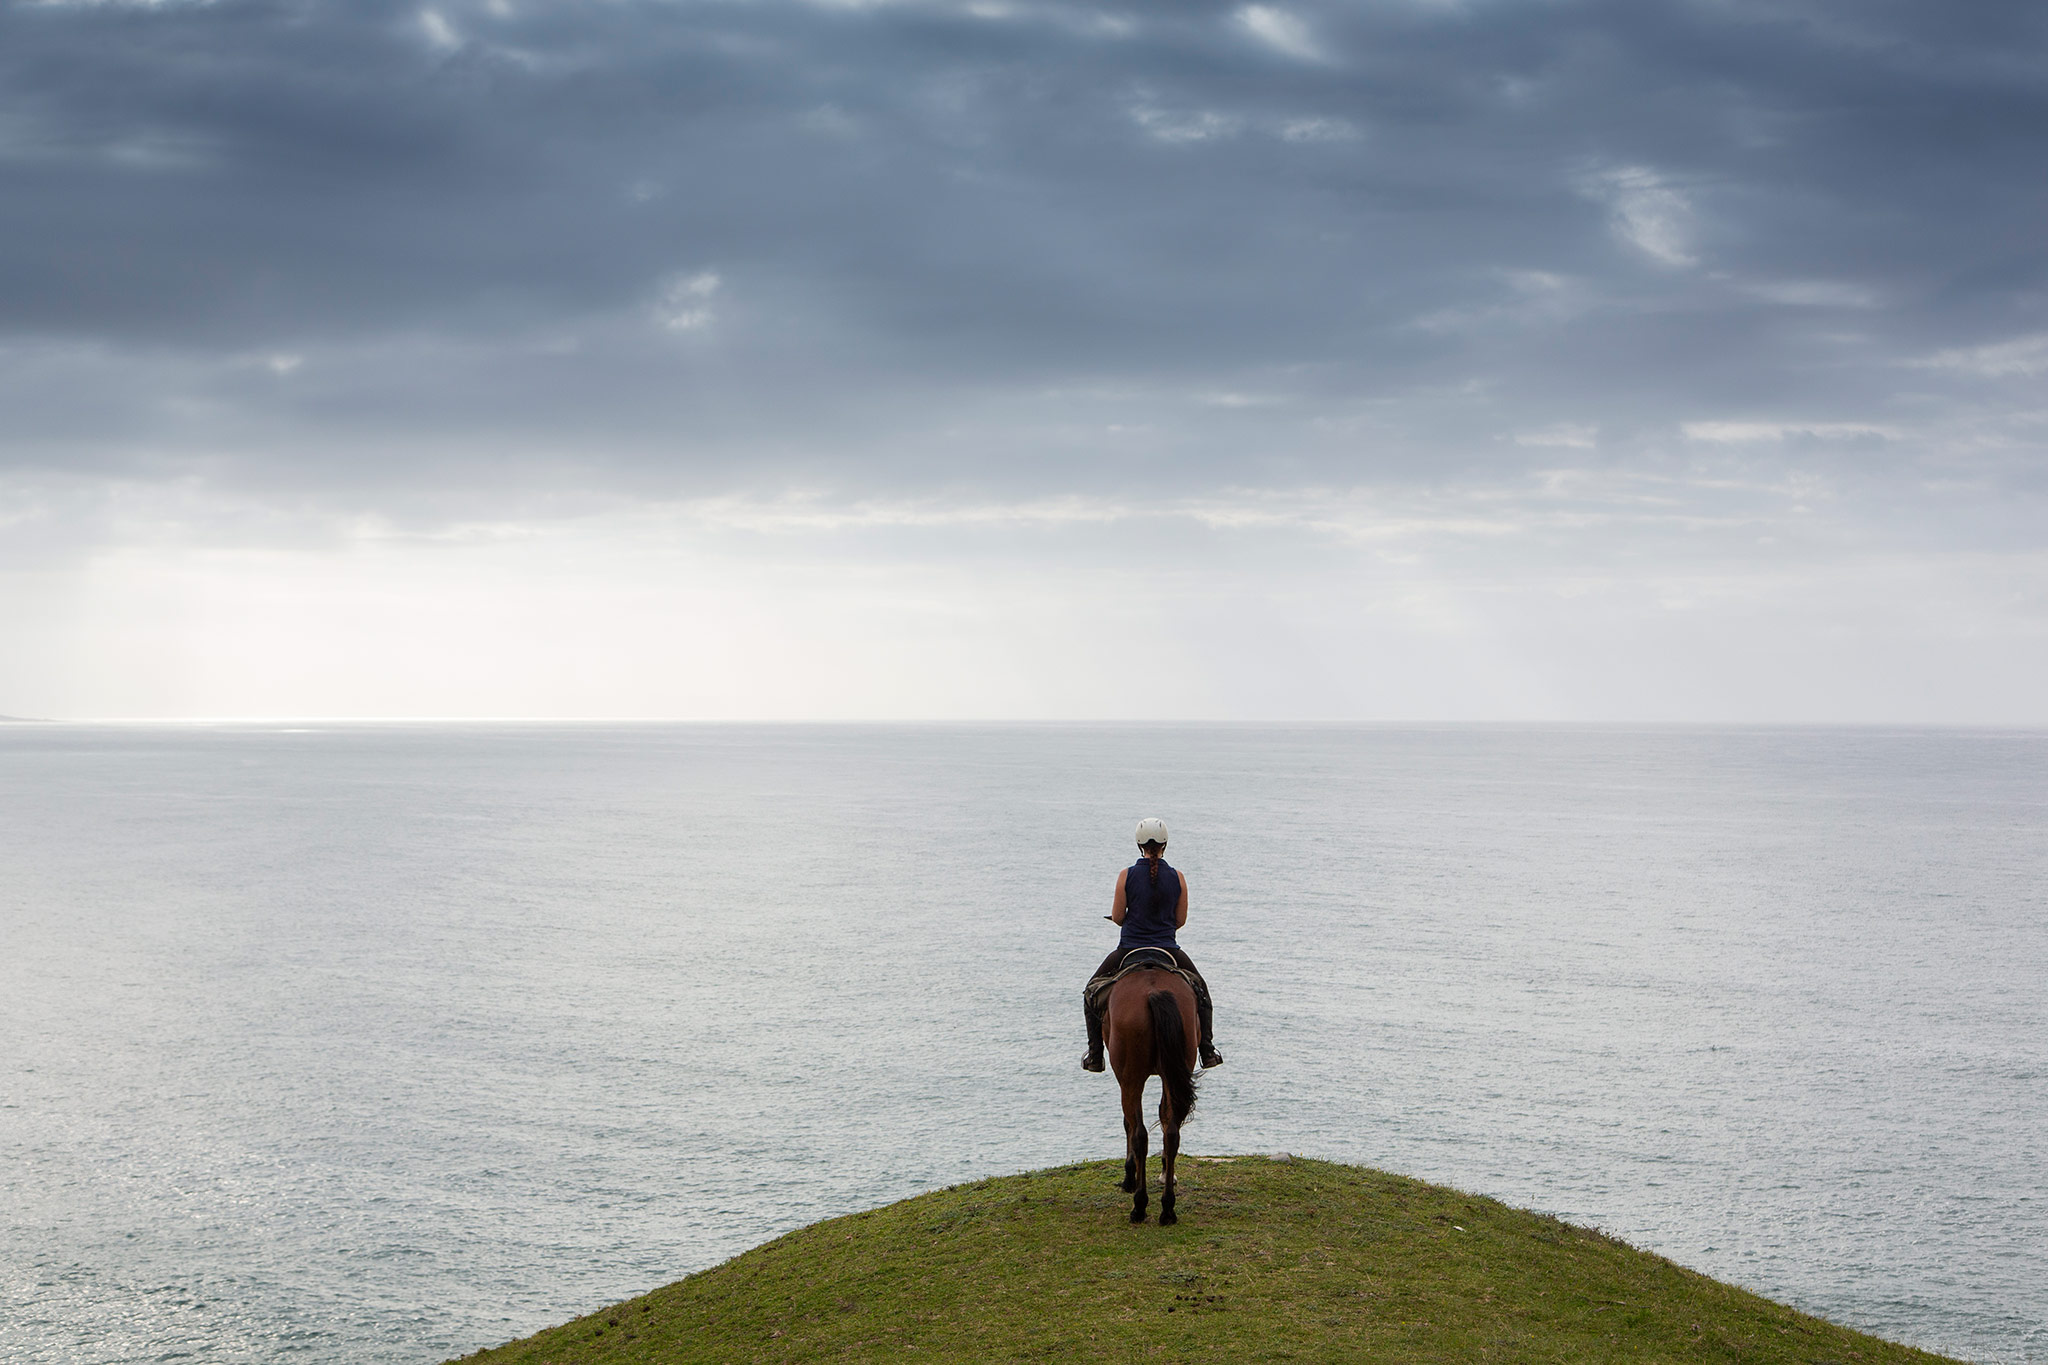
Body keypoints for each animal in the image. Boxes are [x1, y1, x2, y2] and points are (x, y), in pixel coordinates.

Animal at [1105, 961, 1196, 1227]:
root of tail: (1154, 992)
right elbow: (1165, 1119)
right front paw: (1166, 1171)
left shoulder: (1124, 1080)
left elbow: (1128, 1123)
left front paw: (1128, 1177)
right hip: (1176, 1067)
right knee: (1172, 1133)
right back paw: (1168, 1208)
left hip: (1131, 1077)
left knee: (1139, 1134)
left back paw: (1139, 1205)